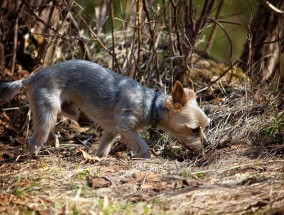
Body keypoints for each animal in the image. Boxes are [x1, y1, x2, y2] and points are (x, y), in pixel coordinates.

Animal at [0, 60, 209, 158]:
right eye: (194, 129)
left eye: (205, 127)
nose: (207, 145)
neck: (151, 104)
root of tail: (33, 76)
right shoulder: (126, 128)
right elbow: (142, 145)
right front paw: (148, 157)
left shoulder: (112, 130)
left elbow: (104, 147)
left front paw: (97, 158)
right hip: (47, 110)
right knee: (35, 139)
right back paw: (35, 154)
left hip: (63, 108)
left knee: (66, 114)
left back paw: (61, 133)